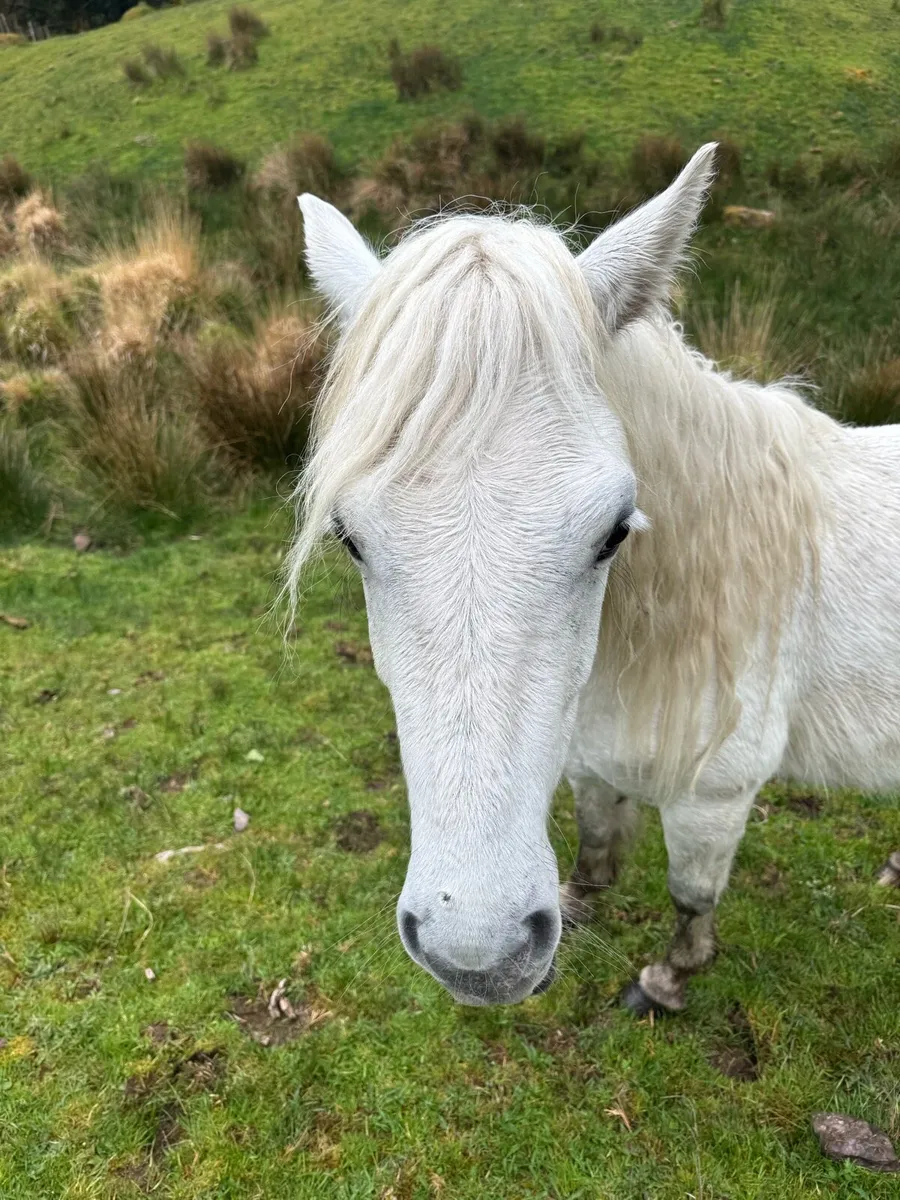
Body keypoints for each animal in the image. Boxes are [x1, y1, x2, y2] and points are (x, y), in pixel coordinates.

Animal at [288, 144, 900, 1014]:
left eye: (614, 532)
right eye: (349, 538)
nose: (478, 956)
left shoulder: (714, 796)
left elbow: (691, 896)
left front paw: (668, 978)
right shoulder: (587, 761)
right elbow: (596, 847)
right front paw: (578, 907)